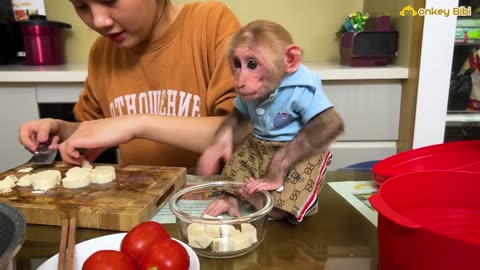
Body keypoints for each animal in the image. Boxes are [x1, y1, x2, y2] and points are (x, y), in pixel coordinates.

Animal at [196, 19, 344, 224]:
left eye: (252, 64)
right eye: (237, 63)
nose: (239, 82)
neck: (275, 88)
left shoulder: (305, 92)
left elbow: (329, 123)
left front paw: (273, 175)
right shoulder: (244, 99)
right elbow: (237, 116)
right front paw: (214, 152)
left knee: (306, 168)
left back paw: (265, 202)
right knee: (241, 158)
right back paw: (231, 199)